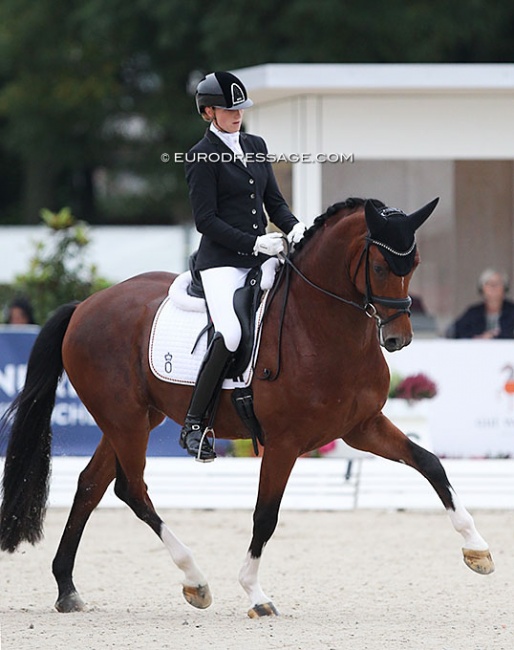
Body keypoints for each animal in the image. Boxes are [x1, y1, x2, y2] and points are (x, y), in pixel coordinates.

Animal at [2, 197, 494, 616]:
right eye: (377, 264)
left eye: (413, 264)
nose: (398, 339)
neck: (321, 326)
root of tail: (85, 305)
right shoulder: (283, 443)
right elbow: (265, 516)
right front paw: (256, 594)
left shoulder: (363, 426)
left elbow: (431, 464)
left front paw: (478, 550)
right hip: (125, 421)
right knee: (131, 489)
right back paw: (196, 581)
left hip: (135, 419)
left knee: (90, 485)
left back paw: (67, 589)